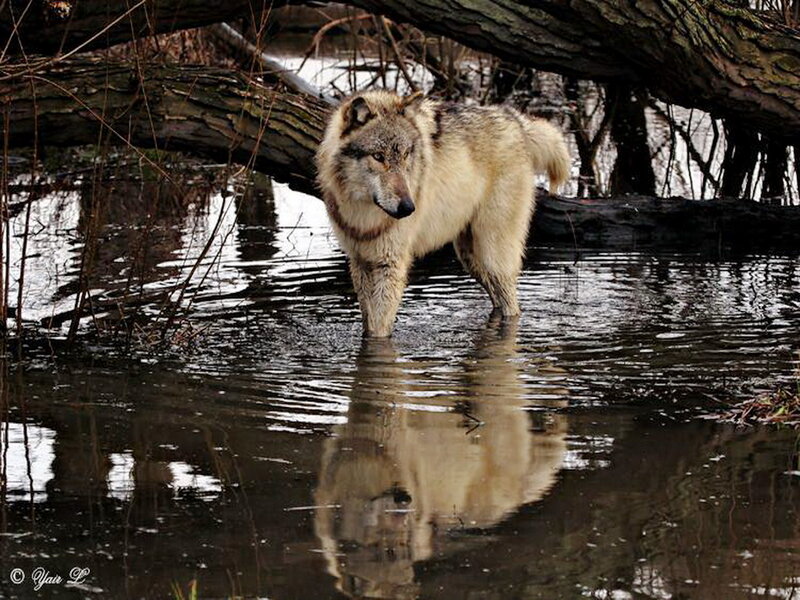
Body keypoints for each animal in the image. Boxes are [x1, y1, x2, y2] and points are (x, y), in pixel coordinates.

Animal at [316, 90, 570, 337]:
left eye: (406, 154)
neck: (363, 213)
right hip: (471, 258)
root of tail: (515, 120)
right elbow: (369, 324)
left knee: (512, 305)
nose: (408, 208)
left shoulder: (391, 265)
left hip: (493, 255)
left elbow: (379, 330)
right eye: (378, 157)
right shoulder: (360, 262)